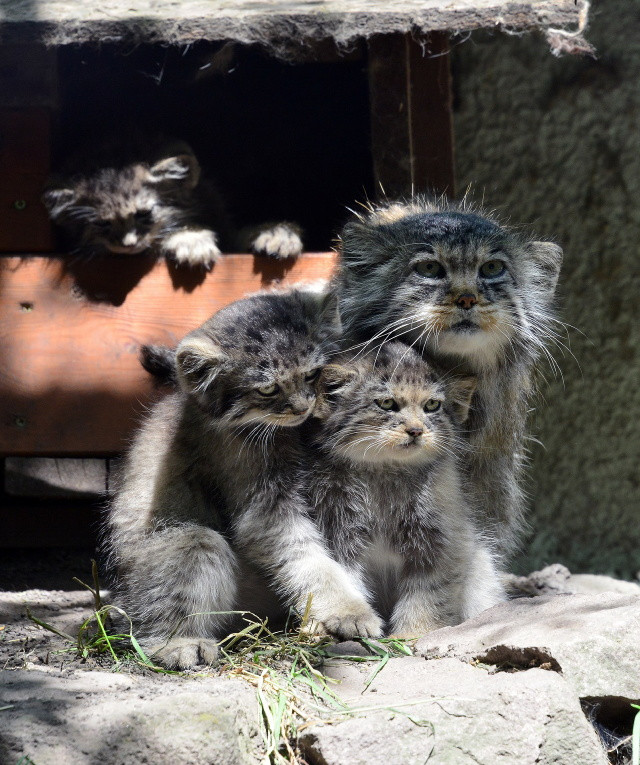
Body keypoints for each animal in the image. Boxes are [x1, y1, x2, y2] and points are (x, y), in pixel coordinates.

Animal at [107, 290, 382, 664]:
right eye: (267, 390)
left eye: (312, 374)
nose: (302, 408)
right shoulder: (265, 506)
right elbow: (308, 557)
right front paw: (348, 609)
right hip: (185, 543)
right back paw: (179, 643)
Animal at [308, 340, 508, 632]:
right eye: (387, 403)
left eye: (432, 405)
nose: (416, 431)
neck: (384, 471)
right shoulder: (340, 529)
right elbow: (343, 578)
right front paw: (353, 618)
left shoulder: (441, 539)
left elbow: (429, 595)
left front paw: (415, 633)